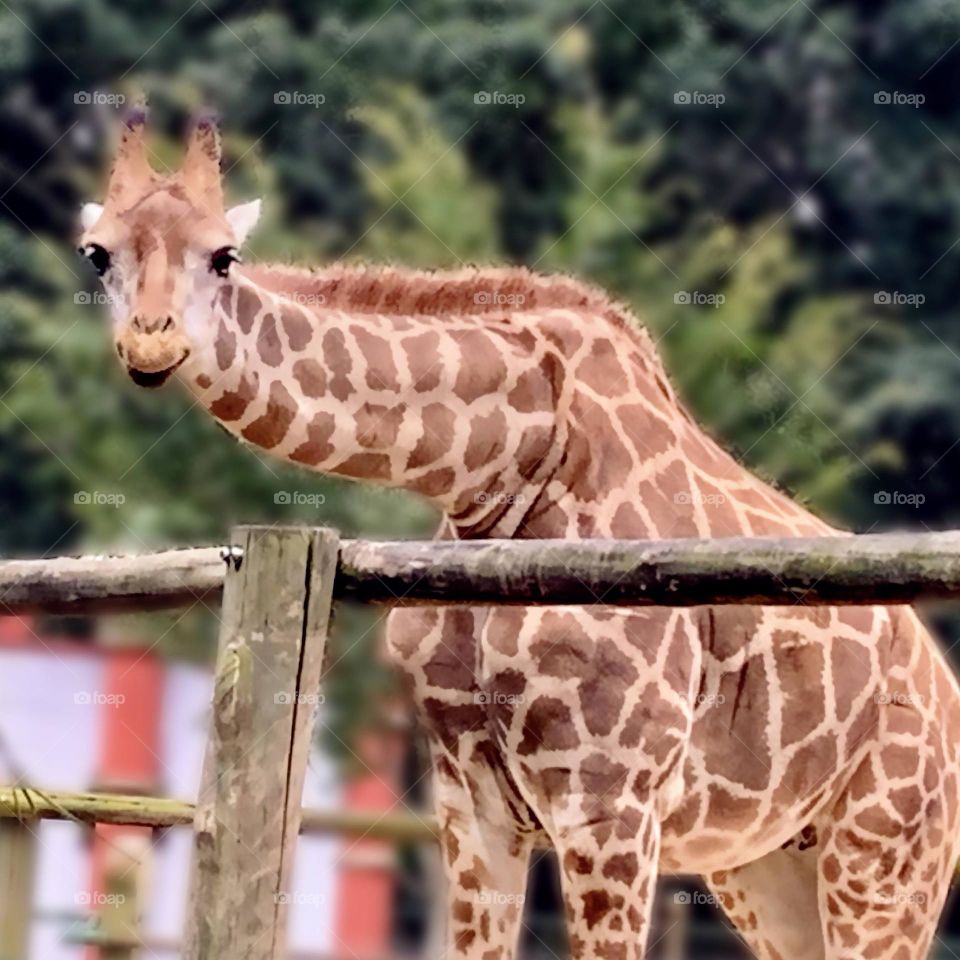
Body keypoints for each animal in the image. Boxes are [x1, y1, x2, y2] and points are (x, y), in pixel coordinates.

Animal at [79, 111, 960, 959]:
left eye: (223, 257)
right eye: (98, 255)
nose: (152, 342)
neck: (500, 470)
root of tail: (945, 693)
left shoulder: (611, 801)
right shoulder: (471, 801)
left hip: (884, 856)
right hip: (767, 864)